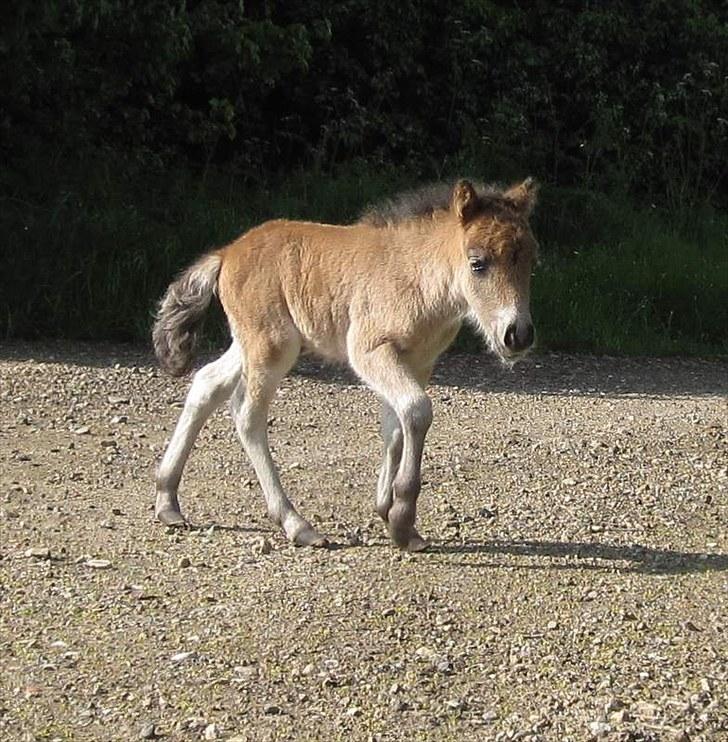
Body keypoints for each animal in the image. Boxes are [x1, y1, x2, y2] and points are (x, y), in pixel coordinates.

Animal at [154, 179, 536, 552]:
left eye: (532, 262)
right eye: (478, 263)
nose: (518, 335)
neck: (417, 276)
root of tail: (226, 253)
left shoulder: (419, 361)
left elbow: (395, 427)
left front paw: (390, 514)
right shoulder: (369, 351)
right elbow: (416, 411)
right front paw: (401, 518)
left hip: (248, 343)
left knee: (207, 383)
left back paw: (167, 500)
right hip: (271, 346)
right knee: (248, 416)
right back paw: (297, 525)